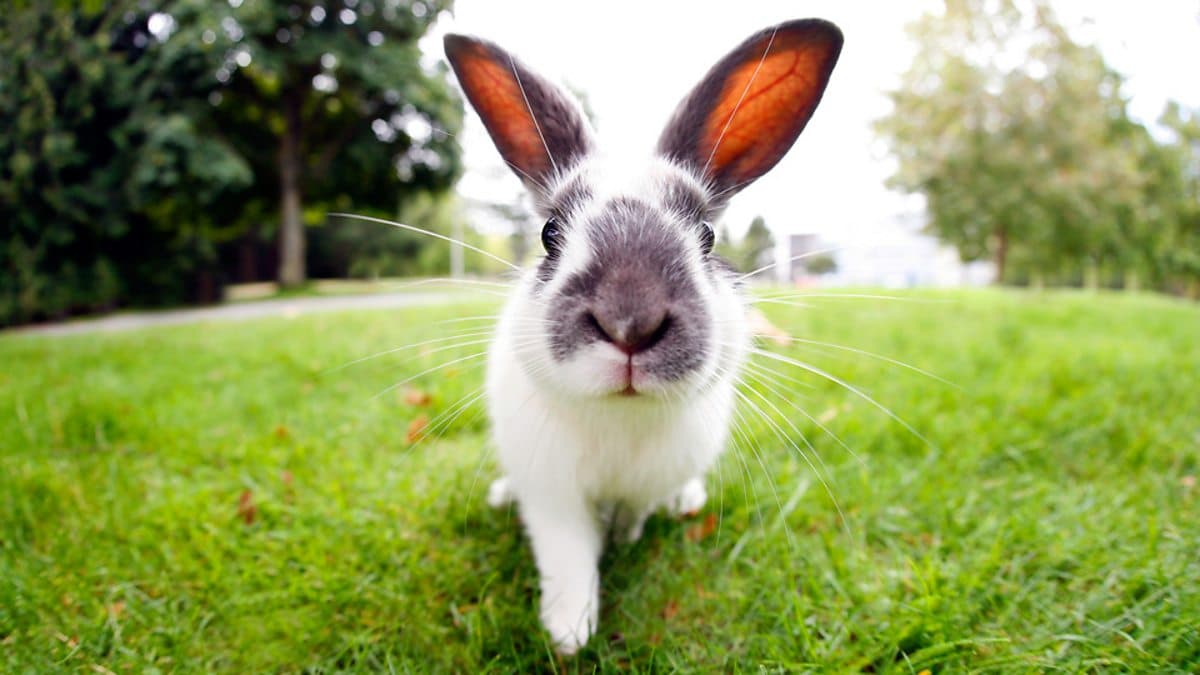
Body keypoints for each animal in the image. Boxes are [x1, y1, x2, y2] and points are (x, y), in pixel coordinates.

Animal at [443, 18, 842, 654]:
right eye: (550, 233)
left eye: (707, 236)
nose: (629, 321)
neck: (620, 417)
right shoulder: (553, 497)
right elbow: (569, 558)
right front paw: (568, 633)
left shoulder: (645, 485)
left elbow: (631, 517)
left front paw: (623, 544)